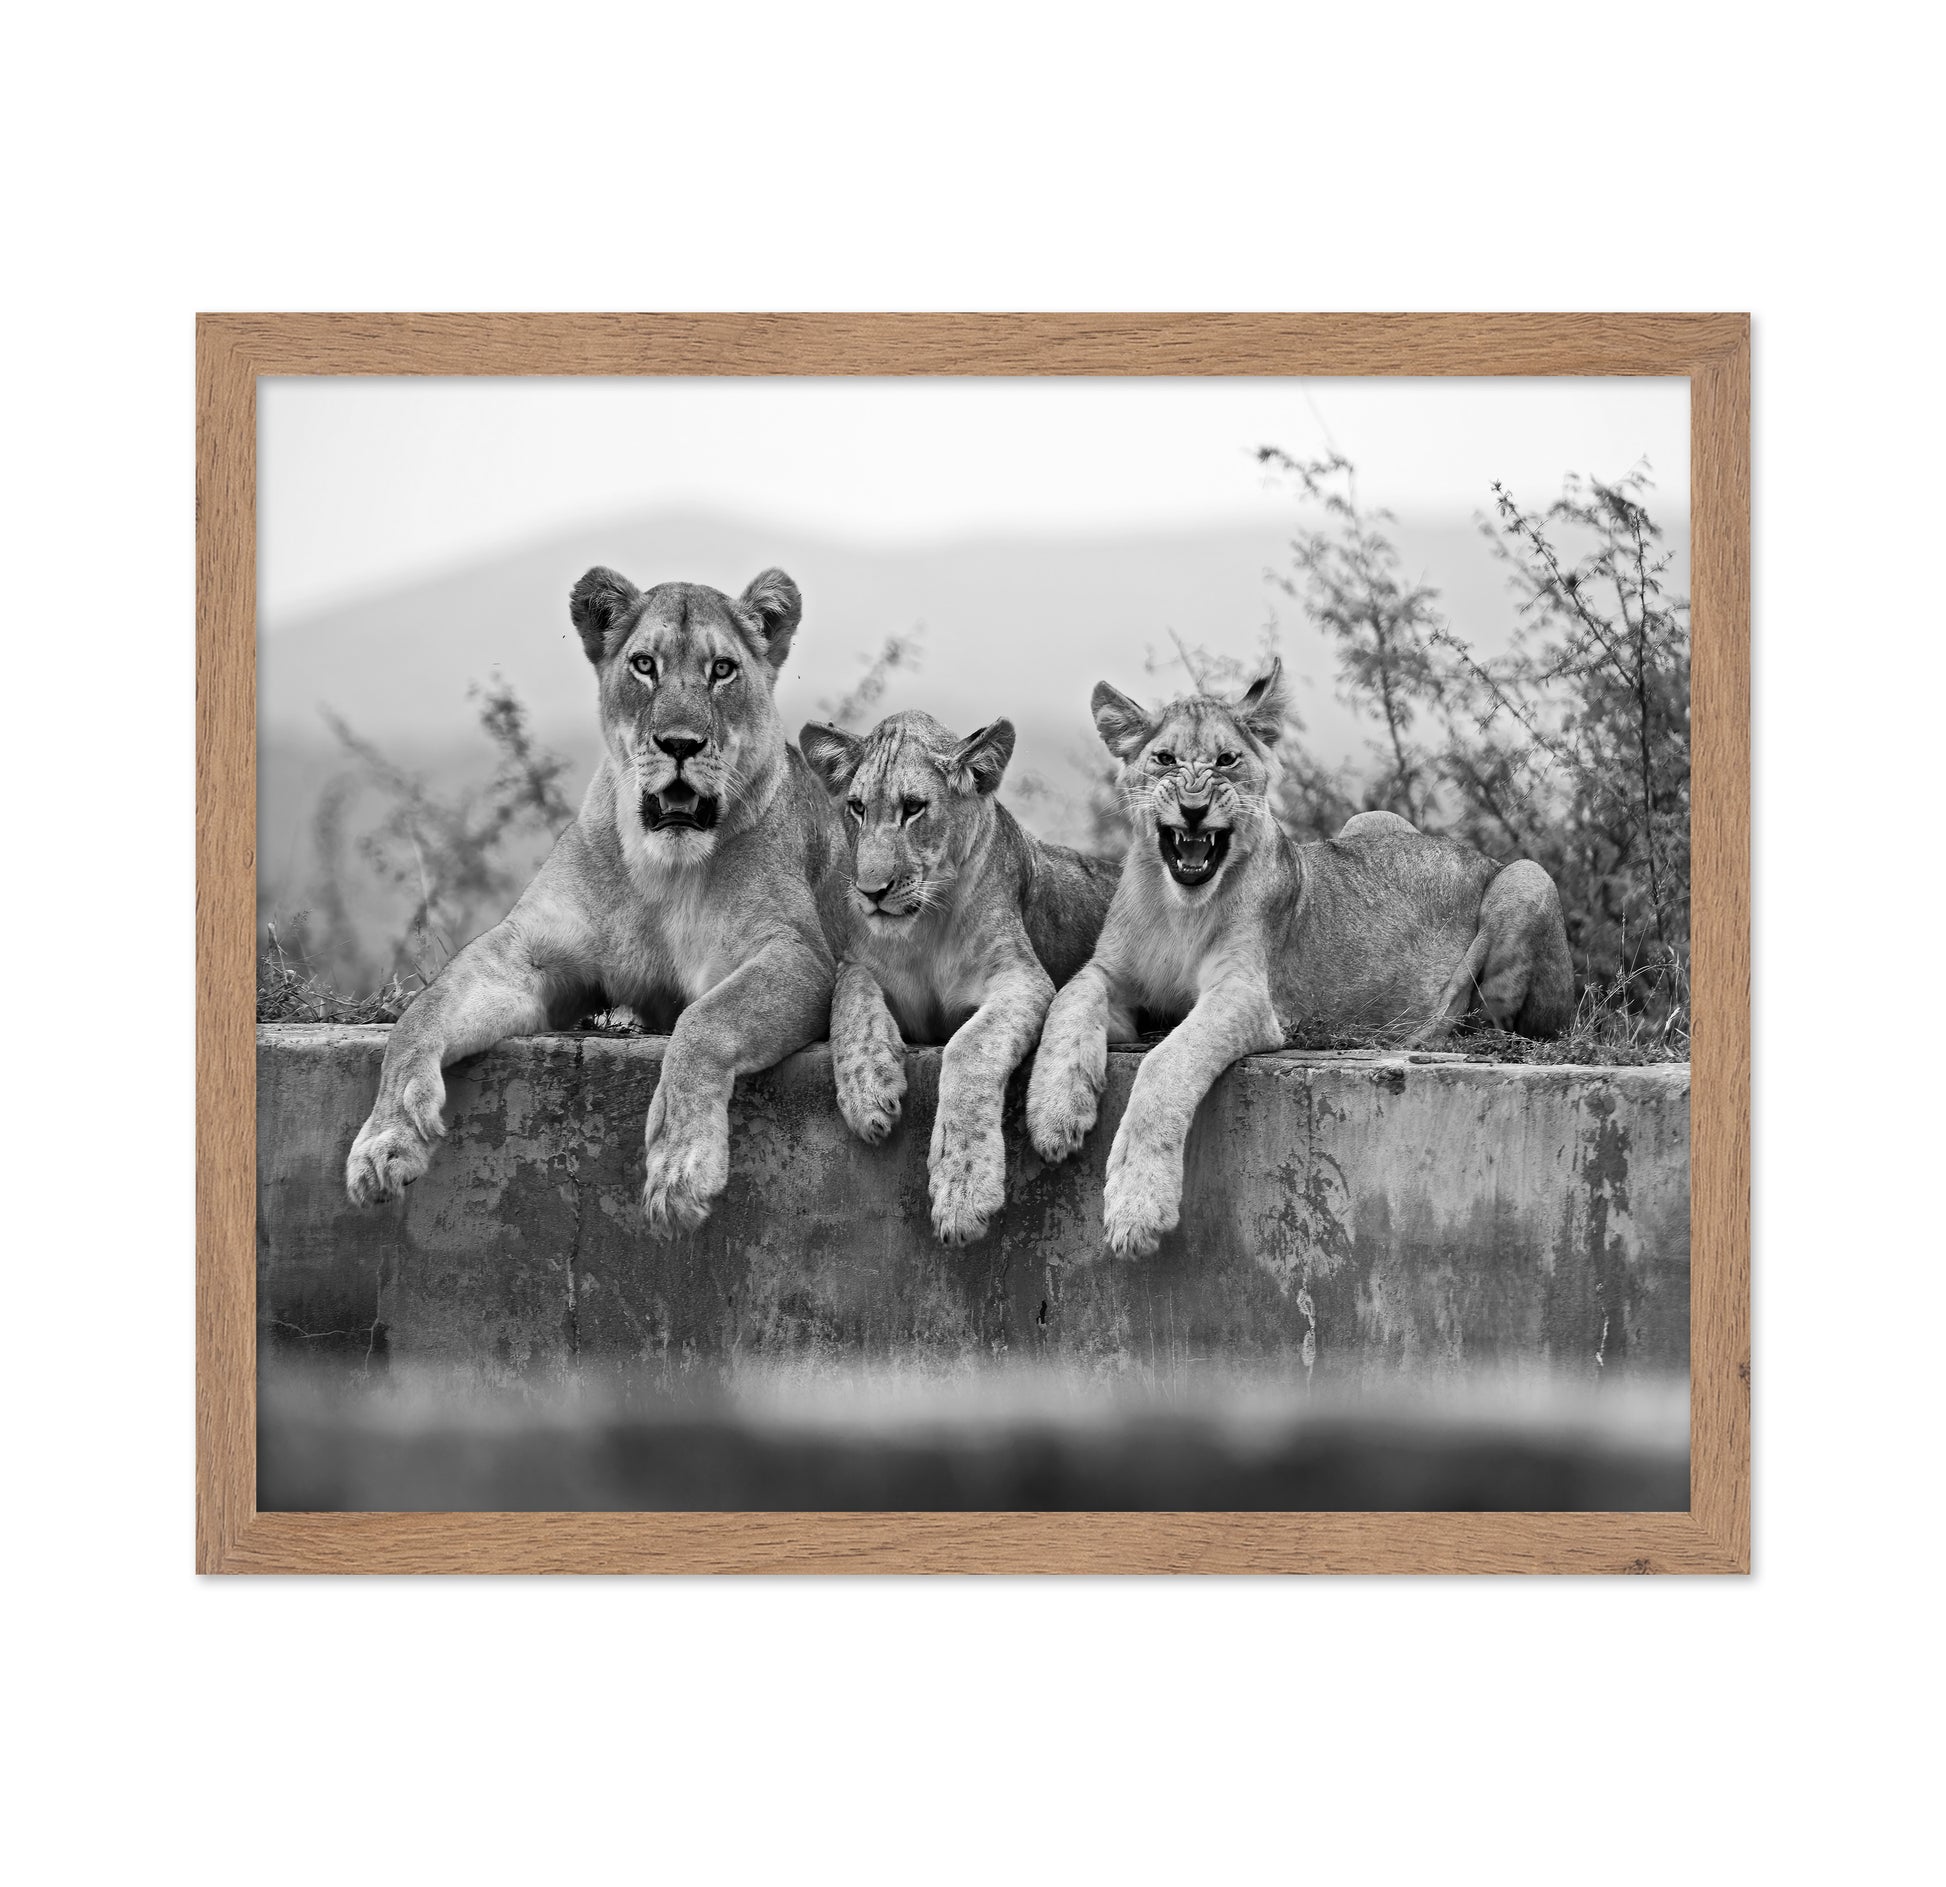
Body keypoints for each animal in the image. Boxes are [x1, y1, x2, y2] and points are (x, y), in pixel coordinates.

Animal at [345, 566, 846, 1235]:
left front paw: (680, 1164)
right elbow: (421, 1013)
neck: (662, 871)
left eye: (722, 669)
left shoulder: (798, 953)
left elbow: (703, 1021)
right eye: (644, 665)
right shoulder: (526, 950)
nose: (680, 743)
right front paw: (387, 1136)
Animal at [798, 710, 1119, 1247]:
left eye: (913, 808)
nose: (870, 891)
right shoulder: (861, 964)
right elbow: (849, 994)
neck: (924, 927)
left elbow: (968, 1047)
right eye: (857, 808)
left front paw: (962, 1191)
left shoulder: (1023, 978)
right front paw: (868, 1089)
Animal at [1026, 661, 1575, 1258]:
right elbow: (1068, 1000)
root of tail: (1480, 854)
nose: (1193, 810)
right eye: (1165, 759)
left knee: (1497, 1028)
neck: (1179, 908)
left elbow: (1165, 1062)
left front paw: (1136, 1207)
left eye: (1226, 760)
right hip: (1371, 820)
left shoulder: (1247, 995)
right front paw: (1053, 1115)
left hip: (1527, 878)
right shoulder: (1111, 976)